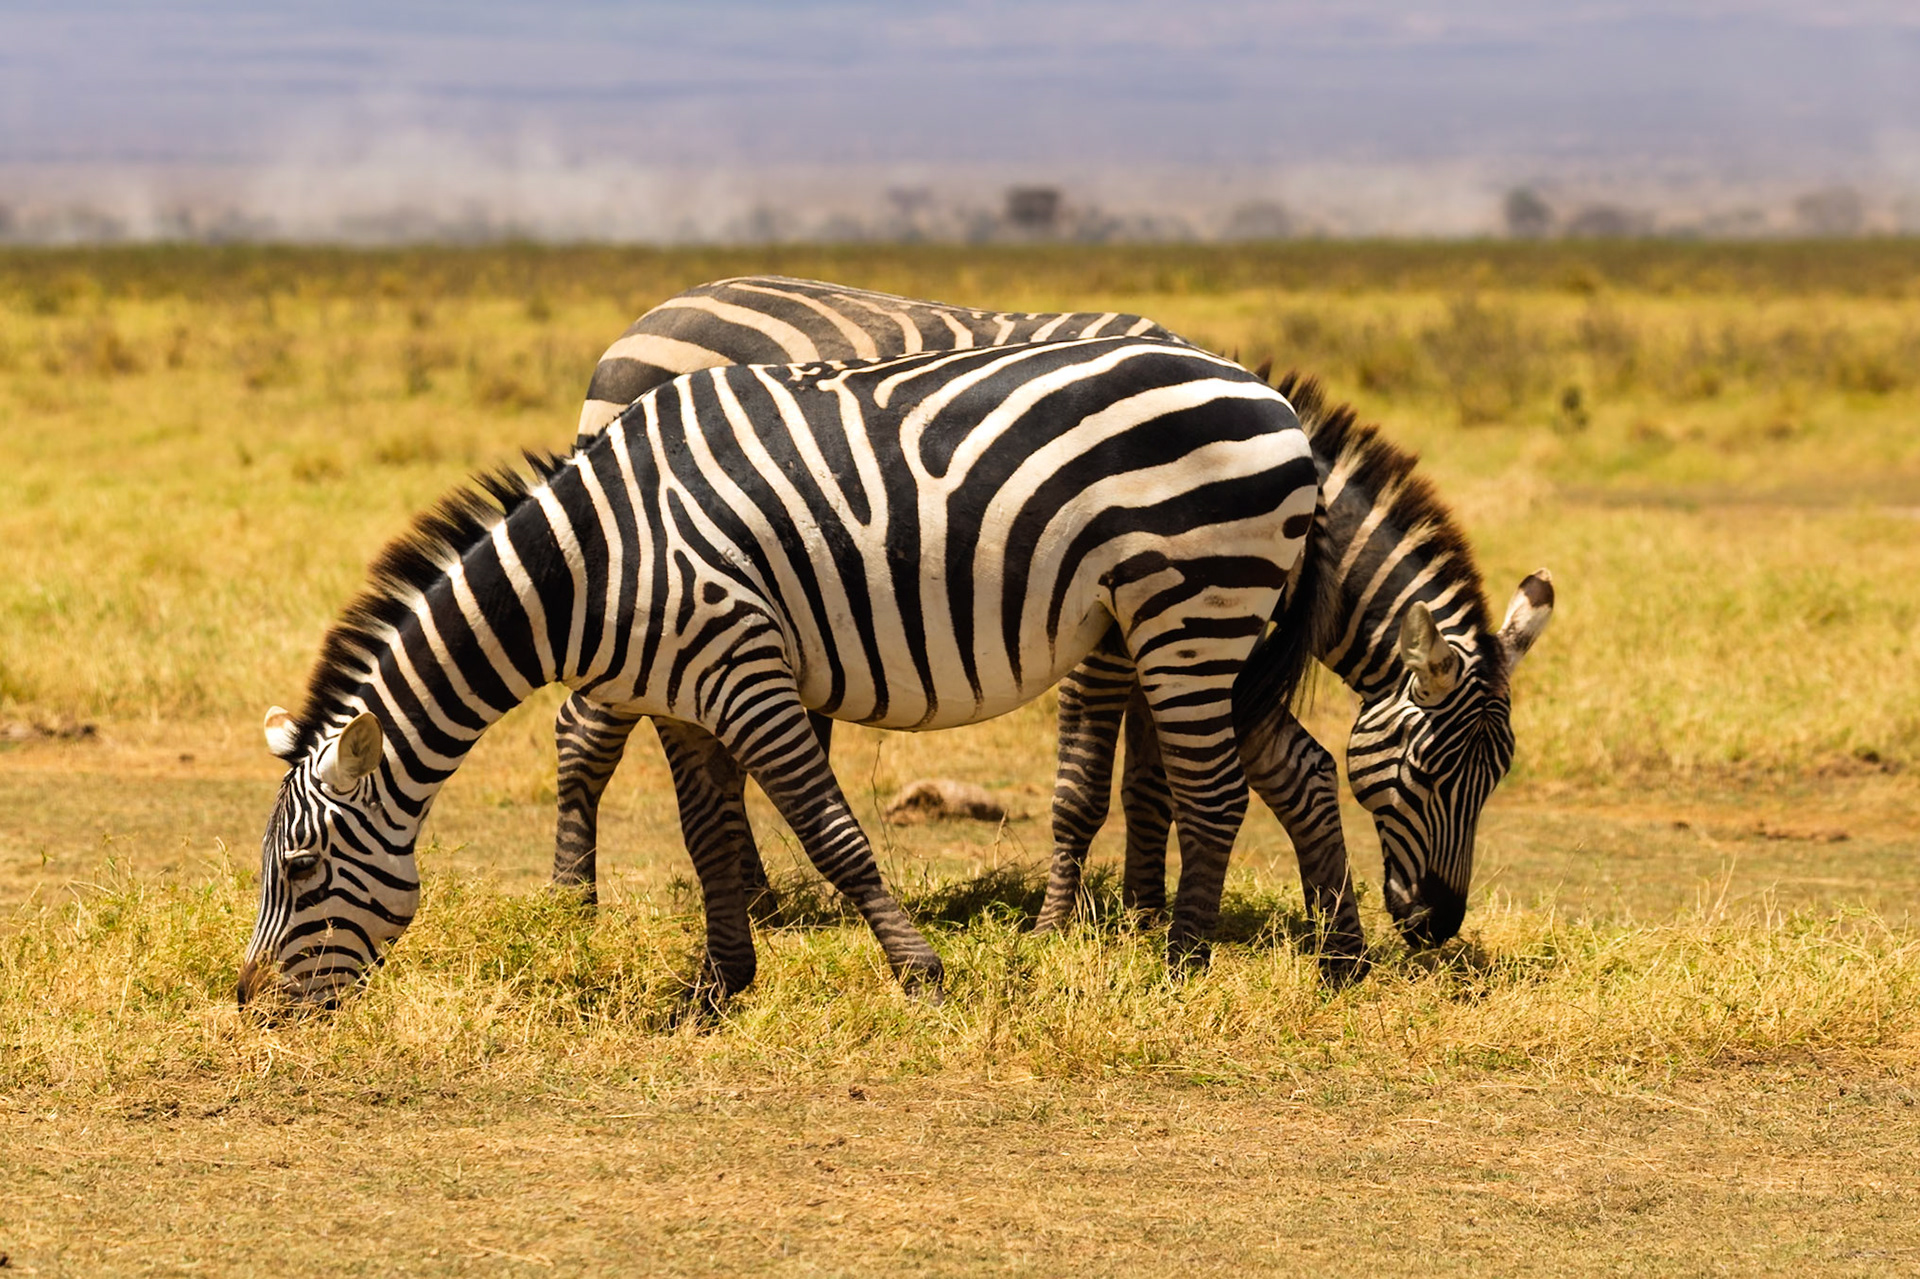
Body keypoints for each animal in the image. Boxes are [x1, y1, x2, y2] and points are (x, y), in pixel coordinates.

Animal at [237, 336, 1319, 1009]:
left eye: (301, 868)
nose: (248, 1005)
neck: (593, 565)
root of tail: (1263, 391)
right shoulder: (680, 698)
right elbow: (710, 835)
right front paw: (719, 985)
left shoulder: (741, 663)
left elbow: (831, 832)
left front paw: (920, 975)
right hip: (1191, 618)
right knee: (1293, 766)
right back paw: (1337, 961)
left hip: (1195, 603)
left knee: (1215, 792)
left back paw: (1182, 969)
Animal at [1037, 373, 1554, 951]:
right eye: (1424, 772)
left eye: (1497, 777)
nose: (1438, 926)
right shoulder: (1126, 637)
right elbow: (1085, 790)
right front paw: (1058, 931)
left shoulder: (1185, 643)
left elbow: (1154, 786)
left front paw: (1142, 917)